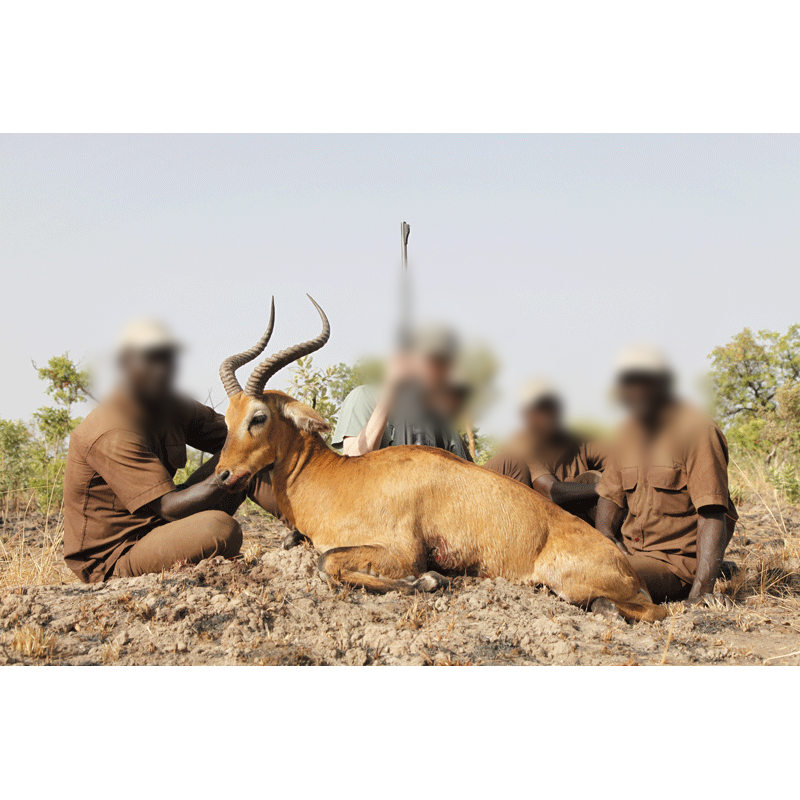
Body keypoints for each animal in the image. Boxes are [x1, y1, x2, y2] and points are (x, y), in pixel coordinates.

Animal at [216, 296, 664, 620]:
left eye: (258, 417)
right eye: (228, 418)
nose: (222, 474)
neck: (337, 477)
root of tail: (623, 562)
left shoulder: (401, 552)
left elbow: (329, 563)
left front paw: (429, 581)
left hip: (576, 582)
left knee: (649, 610)